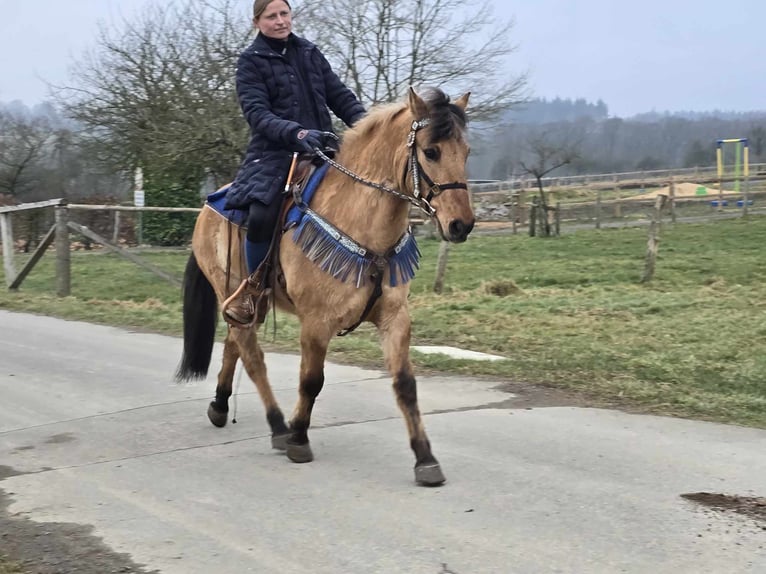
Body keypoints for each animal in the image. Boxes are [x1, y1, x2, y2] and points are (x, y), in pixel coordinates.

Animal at [176, 86, 474, 486]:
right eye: (431, 151)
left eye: (466, 151)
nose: (462, 224)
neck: (362, 224)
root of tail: (209, 207)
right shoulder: (317, 322)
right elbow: (311, 381)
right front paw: (299, 438)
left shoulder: (395, 318)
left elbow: (405, 385)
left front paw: (425, 459)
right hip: (232, 292)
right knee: (252, 357)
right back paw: (277, 425)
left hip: (253, 304)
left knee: (233, 346)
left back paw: (220, 405)